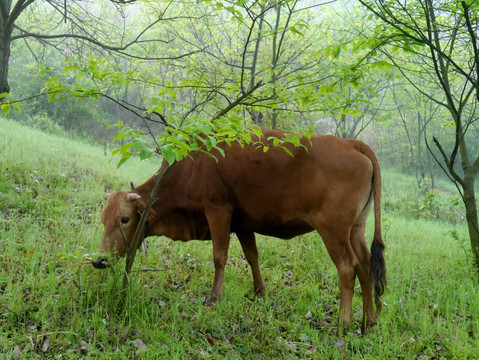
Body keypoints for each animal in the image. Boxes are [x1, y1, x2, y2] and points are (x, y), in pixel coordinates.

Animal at [96, 129, 386, 330]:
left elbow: (219, 256)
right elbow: (252, 256)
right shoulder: (243, 224)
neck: (191, 166)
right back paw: (368, 320)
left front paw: (214, 298)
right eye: (103, 219)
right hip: (355, 229)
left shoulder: (218, 210)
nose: (99, 260)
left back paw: (343, 323)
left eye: (124, 219)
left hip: (333, 230)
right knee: (365, 265)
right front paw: (260, 292)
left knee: (348, 267)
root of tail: (351, 144)